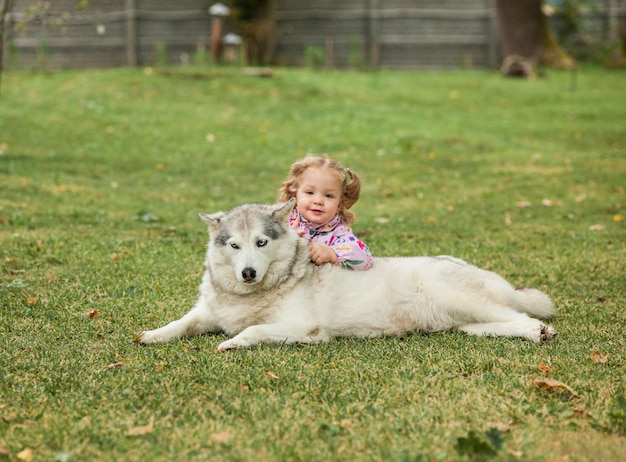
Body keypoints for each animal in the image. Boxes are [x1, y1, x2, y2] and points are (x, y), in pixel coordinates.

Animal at [138, 199, 556, 350]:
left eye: (261, 242)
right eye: (234, 246)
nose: (248, 274)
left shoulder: (305, 330)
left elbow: (253, 330)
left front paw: (232, 342)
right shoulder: (207, 313)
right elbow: (181, 323)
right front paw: (152, 335)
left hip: (463, 299)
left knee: (523, 316)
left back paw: (540, 331)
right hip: (466, 323)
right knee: (501, 323)